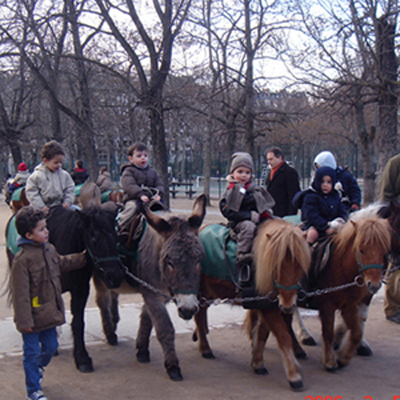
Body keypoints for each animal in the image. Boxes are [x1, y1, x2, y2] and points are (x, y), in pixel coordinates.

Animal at [94, 194, 206, 382]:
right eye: (170, 262)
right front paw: (173, 367)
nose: (188, 310)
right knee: (102, 301)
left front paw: (141, 350)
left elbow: (147, 319)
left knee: (114, 294)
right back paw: (109, 333)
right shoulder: (152, 294)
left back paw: (114, 321)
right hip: (99, 275)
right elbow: (164, 328)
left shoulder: (162, 294)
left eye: (199, 260)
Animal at [195, 219, 310, 390]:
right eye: (275, 265)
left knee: (201, 313)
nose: (287, 306)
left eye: (299, 265)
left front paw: (257, 363)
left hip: (209, 292)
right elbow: (283, 336)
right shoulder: (268, 307)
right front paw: (294, 376)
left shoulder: (267, 305)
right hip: (202, 291)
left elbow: (262, 334)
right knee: (198, 315)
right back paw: (205, 349)